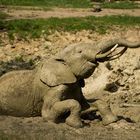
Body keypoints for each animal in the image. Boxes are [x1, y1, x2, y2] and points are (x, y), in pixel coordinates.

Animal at [0, 37, 139, 127]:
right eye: (80, 52)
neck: (58, 58)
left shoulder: (76, 85)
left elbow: (89, 103)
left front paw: (111, 121)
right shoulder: (54, 88)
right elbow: (49, 113)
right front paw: (76, 125)